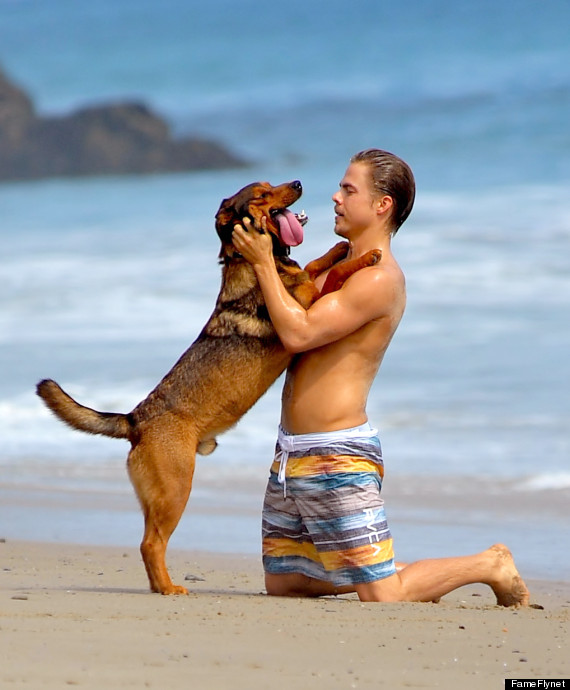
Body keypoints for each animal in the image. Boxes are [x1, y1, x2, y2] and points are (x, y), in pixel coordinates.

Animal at [36, 179, 382, 592]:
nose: (298, 183)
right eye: (261, 195)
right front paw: (365, 257)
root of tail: (135, 419)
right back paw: (171, 588)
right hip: (176, 488)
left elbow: (316, 264)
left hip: (159, 496)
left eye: (273, 184)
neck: (259, 263)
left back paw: (160, 586)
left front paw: (339, 248)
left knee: (147, 542)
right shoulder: (307, 310)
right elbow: (334, 275)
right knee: (151, 543)